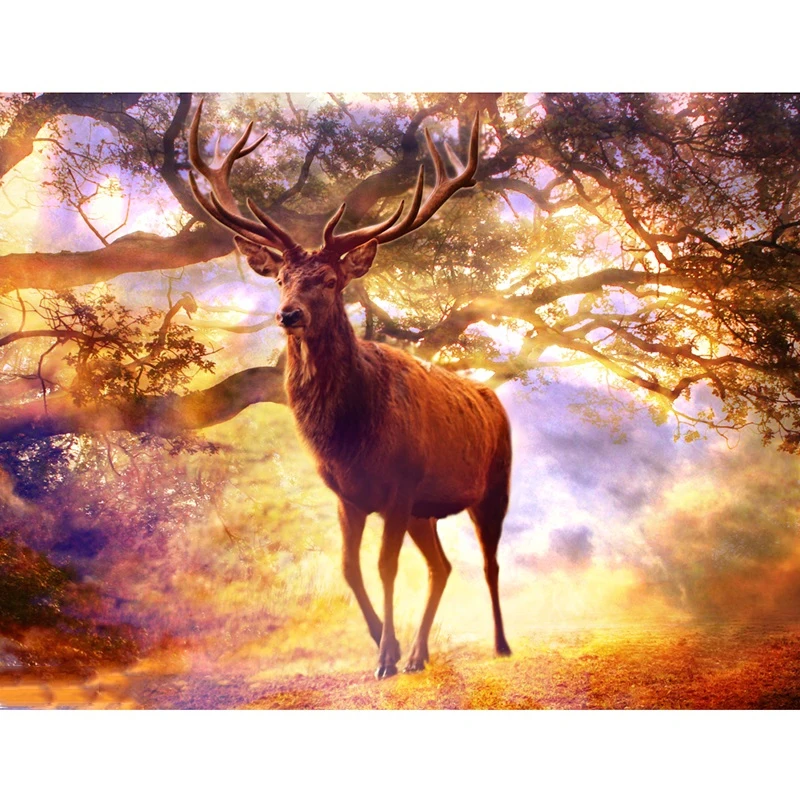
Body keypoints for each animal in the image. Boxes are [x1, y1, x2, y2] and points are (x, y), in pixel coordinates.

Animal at [188, 100, 512, 678]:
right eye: (281, 278)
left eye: (331, 280)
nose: (288, 314)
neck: (347, 438)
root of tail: (495, 399)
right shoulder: (348, 495)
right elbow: (348, 568)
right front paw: (385, 643)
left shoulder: (400, 484)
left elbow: (384, 568)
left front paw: (385, 657)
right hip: (428, 509)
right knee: (443, 566)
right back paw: (420, 654)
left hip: (493, 485)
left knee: (490, 562)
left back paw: (498, 645)